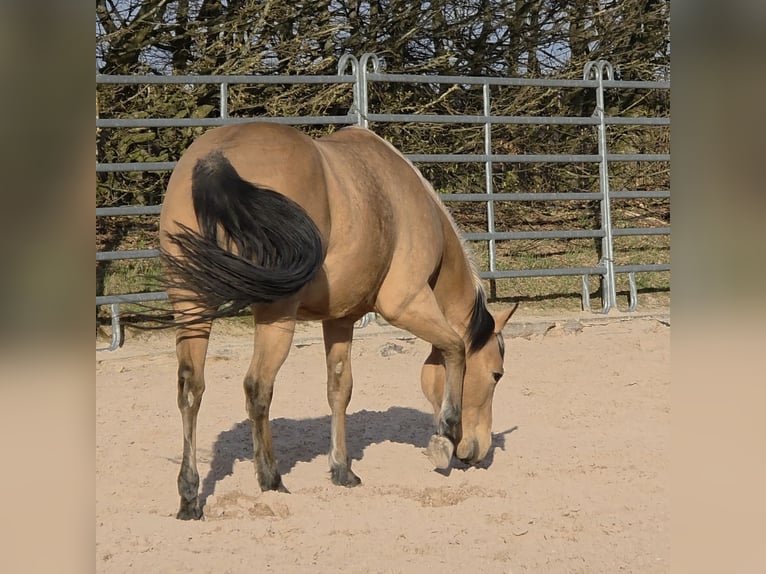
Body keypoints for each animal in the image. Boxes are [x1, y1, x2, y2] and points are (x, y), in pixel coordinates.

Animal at [159, 122, 516, 520]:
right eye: (496, 375)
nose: (478, 450)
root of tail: (216, 159)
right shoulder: (407, 304)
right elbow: (454, 347)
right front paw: (446, 435)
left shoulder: (341, 319)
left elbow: (339, 390)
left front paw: (342, 469)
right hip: (276, 314)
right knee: (258, 388)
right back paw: (271, 479)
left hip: (191, 304)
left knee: (191, 391)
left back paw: (190, 496)